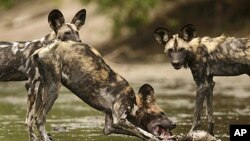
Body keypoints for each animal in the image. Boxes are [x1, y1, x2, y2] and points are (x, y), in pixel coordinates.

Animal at [29, 40, 176, 140]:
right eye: (162, 113)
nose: (174, 124)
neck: (134, 102)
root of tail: (42, 49)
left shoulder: (110, 126)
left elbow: (139, 133)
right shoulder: (119, 120)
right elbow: (146, 133)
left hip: (42, 90)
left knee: (32, 120)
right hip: (54, 90)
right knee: (40, 119)